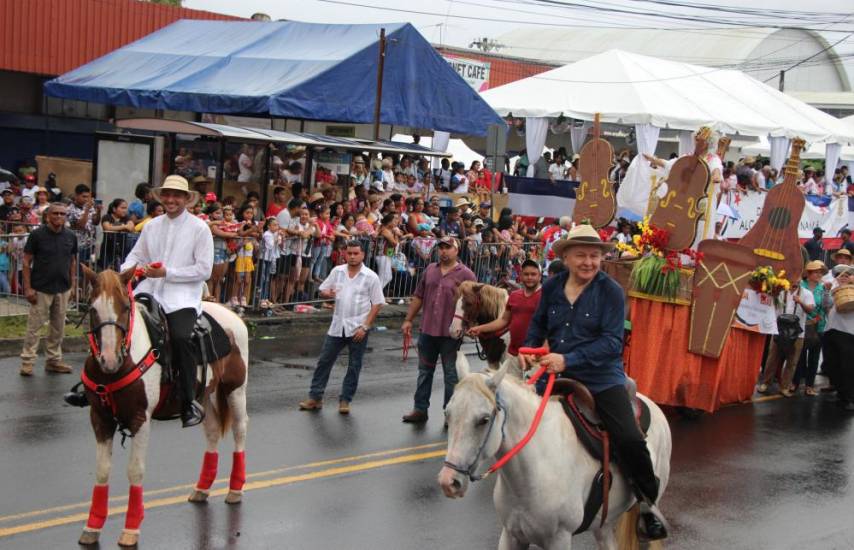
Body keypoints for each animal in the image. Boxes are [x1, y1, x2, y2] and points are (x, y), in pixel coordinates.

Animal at [77, 268, 251, 548]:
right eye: (93, 309)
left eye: (125, 307)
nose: (109, 360)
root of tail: (233, 316)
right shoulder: (100, 418)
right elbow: (102, 471)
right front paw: (92, 526)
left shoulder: (140, 419)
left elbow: (135, 471)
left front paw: (131, 528)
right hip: (204, 395)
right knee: (213, 431)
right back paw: (202, 488)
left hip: (235, 390)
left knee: (239, 431)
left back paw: (235, 488)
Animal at [438, 356, 672, 548]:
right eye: (447, 413)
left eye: (484, 419)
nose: (449, 482)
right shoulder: (511, 535)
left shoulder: (559, 538)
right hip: (603, 524)